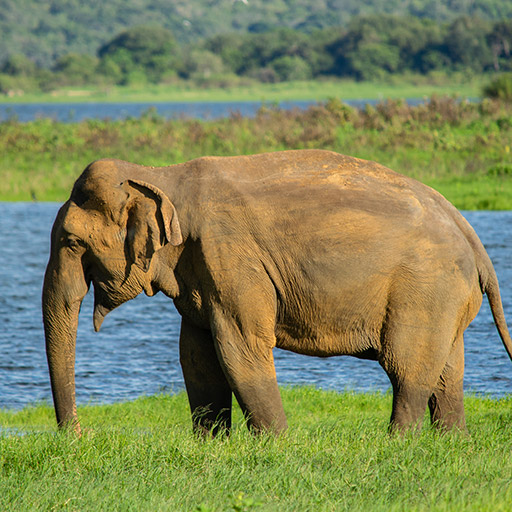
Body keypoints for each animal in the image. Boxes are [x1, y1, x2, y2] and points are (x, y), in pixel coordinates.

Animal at [43, 150, 512, 434]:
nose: (79, 437)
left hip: (425, 289)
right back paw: (448, 442)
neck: (161, 176)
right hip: (446, 298)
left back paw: (399, 444)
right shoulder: (199, 271)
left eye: (71, 243)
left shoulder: (231, 259)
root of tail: (469, 231)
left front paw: (277, 445)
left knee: (408, 370)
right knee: (448, 375)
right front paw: (212, 446)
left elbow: (241, 350)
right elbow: (196, 358)